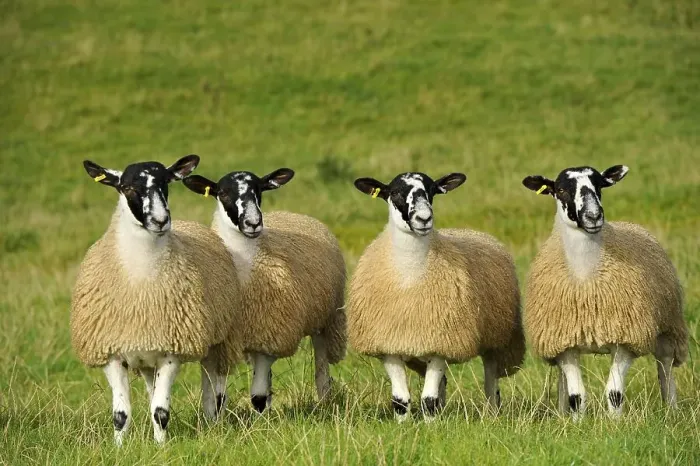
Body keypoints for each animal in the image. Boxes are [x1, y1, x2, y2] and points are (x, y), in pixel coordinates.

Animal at [71, 155, 243, 445]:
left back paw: (213, 422)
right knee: (154, 392)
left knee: (214, 386)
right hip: (147, 357)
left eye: (166, 184)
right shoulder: (112, 353)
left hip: (218, 341)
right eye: (127, 187)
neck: (142, 290)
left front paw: (161, 447)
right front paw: (119, 448)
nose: (161, 220)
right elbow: (121, 414)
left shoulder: (171, 352)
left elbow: (161, 411)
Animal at [182, 168, 347, 412]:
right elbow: (219, 395)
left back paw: (324, 400)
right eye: (223, 193)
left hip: (326, 319)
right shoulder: (226, 342)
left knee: (321, 366)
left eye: (259, 190)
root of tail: (293, 214)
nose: (253, 223)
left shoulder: (271, 334)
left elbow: (257, 396)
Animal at [347, 172, 525, 421]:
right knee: (443, 383)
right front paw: (403, 425)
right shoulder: (389, 345)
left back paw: (492, 414)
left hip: (495, 338)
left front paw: (431, 425)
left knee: (491, 382)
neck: (410, 279)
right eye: (395, 192)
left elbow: (428, 400)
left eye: (432, 190)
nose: (424, 219)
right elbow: (400, 400)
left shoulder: (442, 342)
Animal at [522, 165, 688, 419]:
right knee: (562, 380)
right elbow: (576, 396)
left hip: (668, 326)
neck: (586, 280)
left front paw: (615, 424)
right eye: (561, 190)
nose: (594, 216)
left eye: (599, 185)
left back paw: (671, 410)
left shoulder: (625, 340)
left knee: (665, 365)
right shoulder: (565, 342)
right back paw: (561, 414)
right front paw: (576, 423)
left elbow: (614, 393)